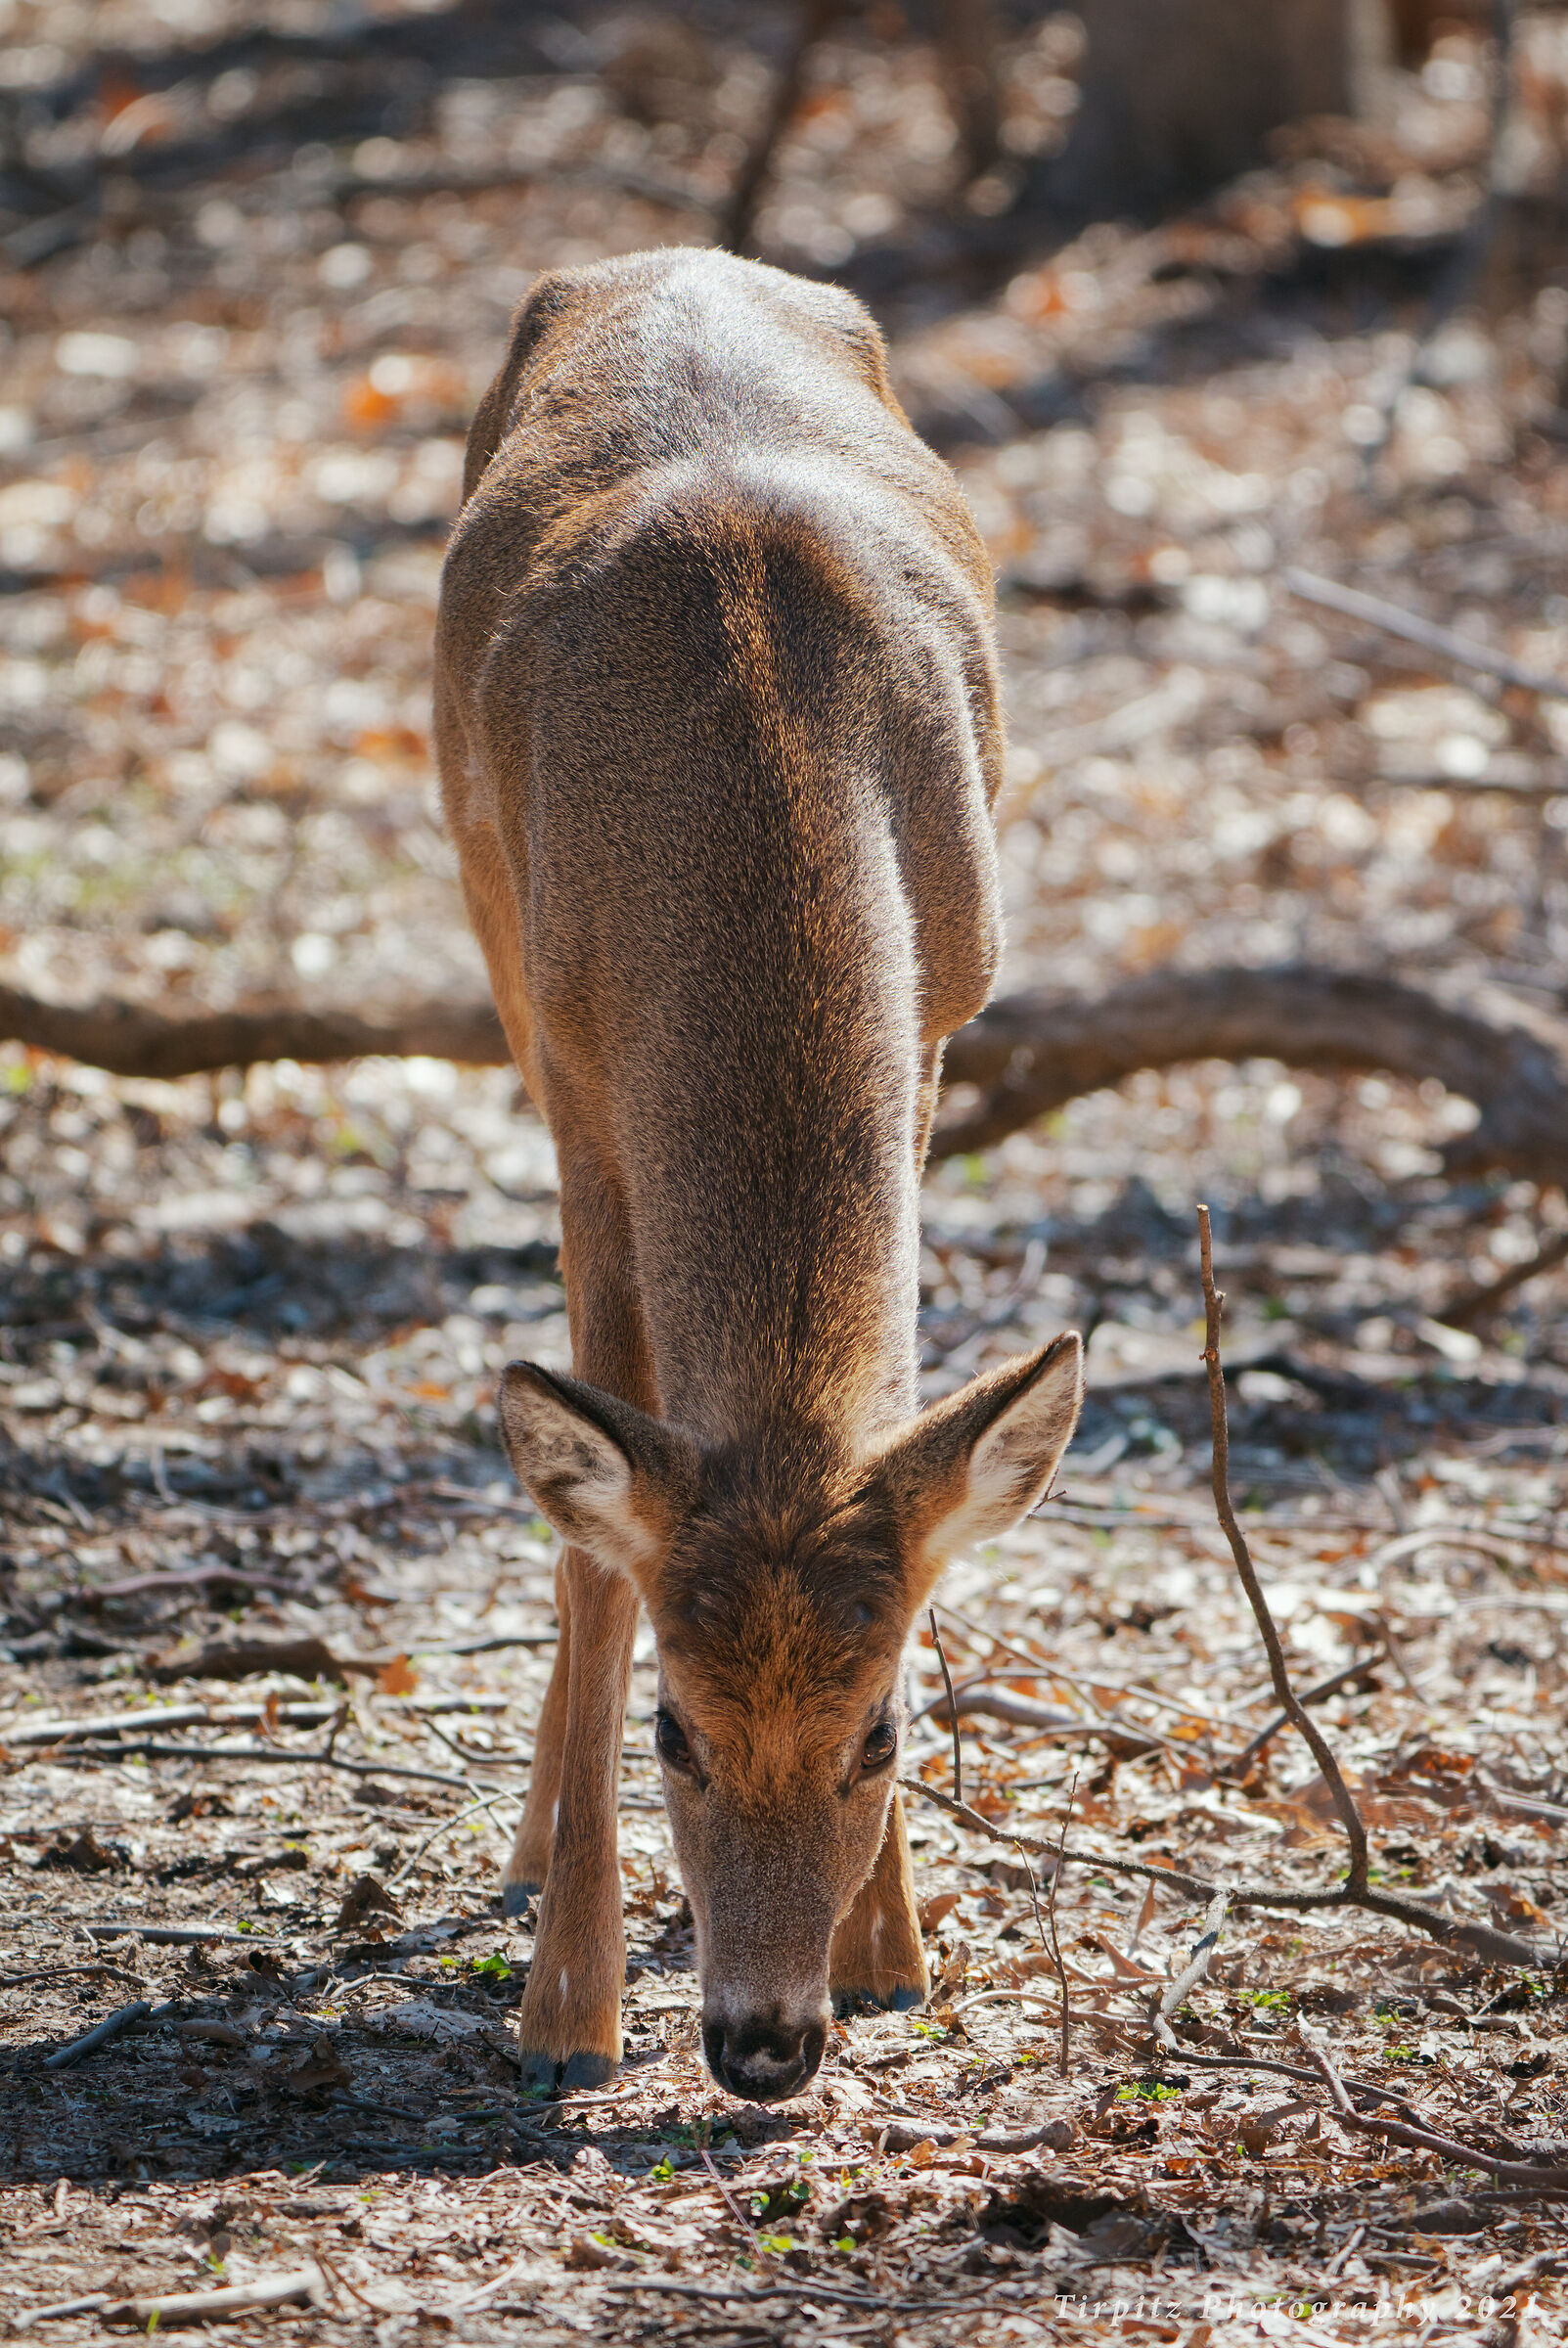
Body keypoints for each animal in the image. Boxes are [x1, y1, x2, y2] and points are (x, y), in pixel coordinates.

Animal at [434, 247, 1083, 2104]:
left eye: (881, 1731)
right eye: (676, 1730)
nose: (761, 2044)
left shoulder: (943, 1009)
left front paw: (894, 1951)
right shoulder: (582, 1077)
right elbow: (600, 1534)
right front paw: (564, 2008)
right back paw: (529, 1862)